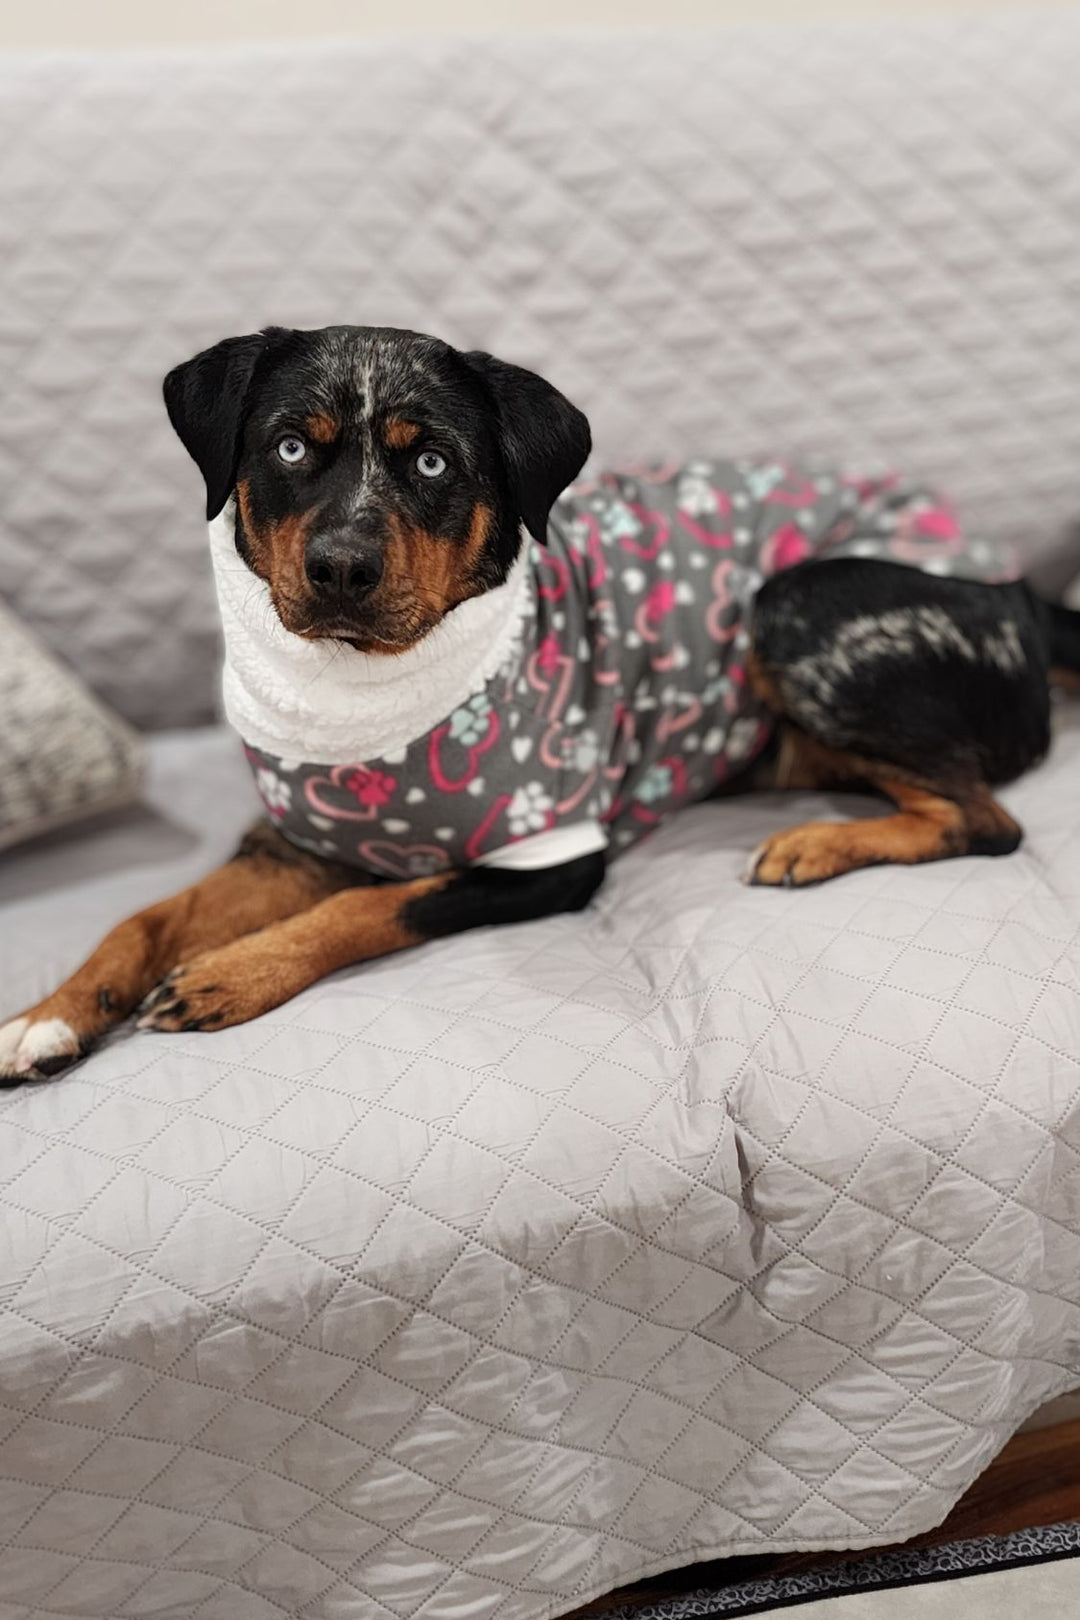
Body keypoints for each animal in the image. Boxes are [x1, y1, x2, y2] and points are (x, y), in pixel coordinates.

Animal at [2, 322, 1080, 1082]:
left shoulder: (551, 856)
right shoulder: (289, 845)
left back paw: (816, 842)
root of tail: (1026, 596)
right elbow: (146, 918)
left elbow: (381, 901)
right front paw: (45, 1016)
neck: (366, 692)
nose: (340, 568)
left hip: (794, 601)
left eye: (433, 461)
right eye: (291, 450)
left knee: (987, 820)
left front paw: (235, 970)